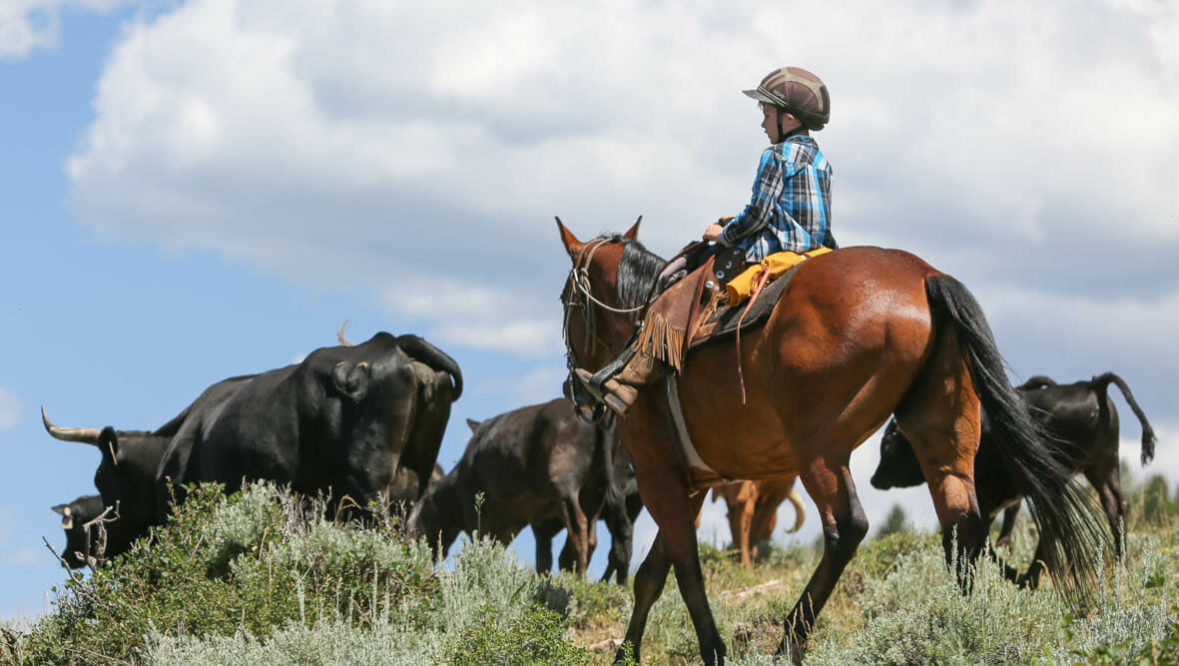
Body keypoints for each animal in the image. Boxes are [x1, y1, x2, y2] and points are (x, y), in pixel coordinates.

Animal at [409, 398, 614, 577]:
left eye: (415, 519)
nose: (408, 541)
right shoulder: (529, 523)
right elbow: (542, 559)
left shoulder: (478, 520)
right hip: (595, 490)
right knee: (590, 537)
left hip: (565, 481)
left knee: (578, 526)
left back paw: (579, 578)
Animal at [871, 371, 1157, 585]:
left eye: (887, 443)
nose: (875, 479)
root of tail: (1091, 384)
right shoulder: (1003, 500)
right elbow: (1000, 537)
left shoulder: (983, 498)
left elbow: (983, 540)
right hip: (1103, 466)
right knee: (1115, 505)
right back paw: (1119, 565)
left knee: (1055, 525)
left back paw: (1030, 576)